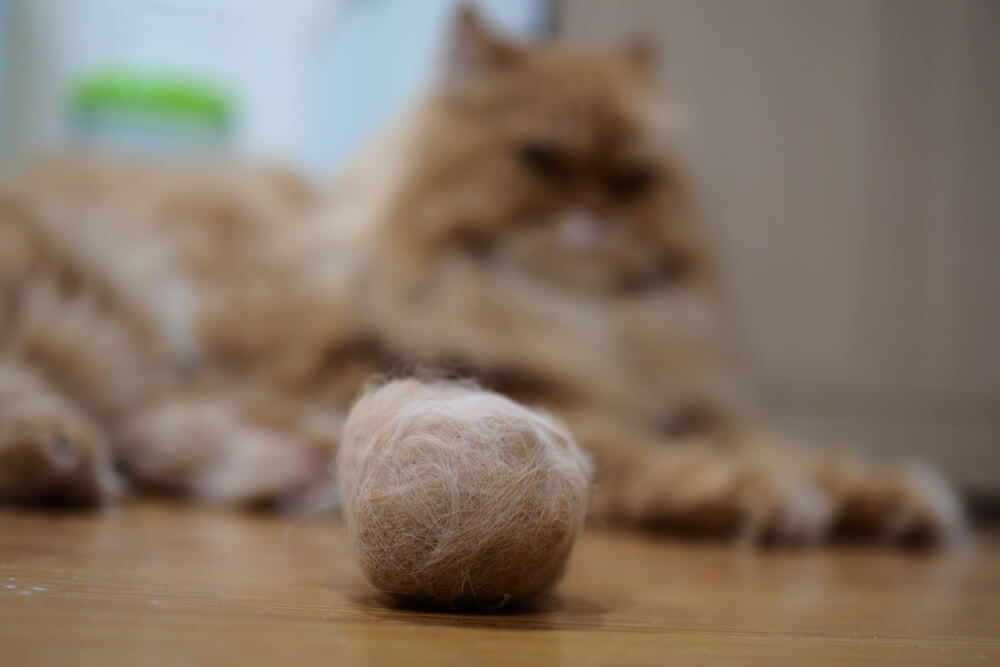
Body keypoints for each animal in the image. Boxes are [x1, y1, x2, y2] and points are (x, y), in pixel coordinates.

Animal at [0, 7, 964, 544]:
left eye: (633, 178)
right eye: (540, 160)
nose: (598, 216)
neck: (577, 316)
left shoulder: (693, 400)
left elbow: (790, 445)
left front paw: (896, 497)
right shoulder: (542, 395)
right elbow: (671, 459)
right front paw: (770, 498)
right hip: (78, 312)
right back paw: (62, 450)